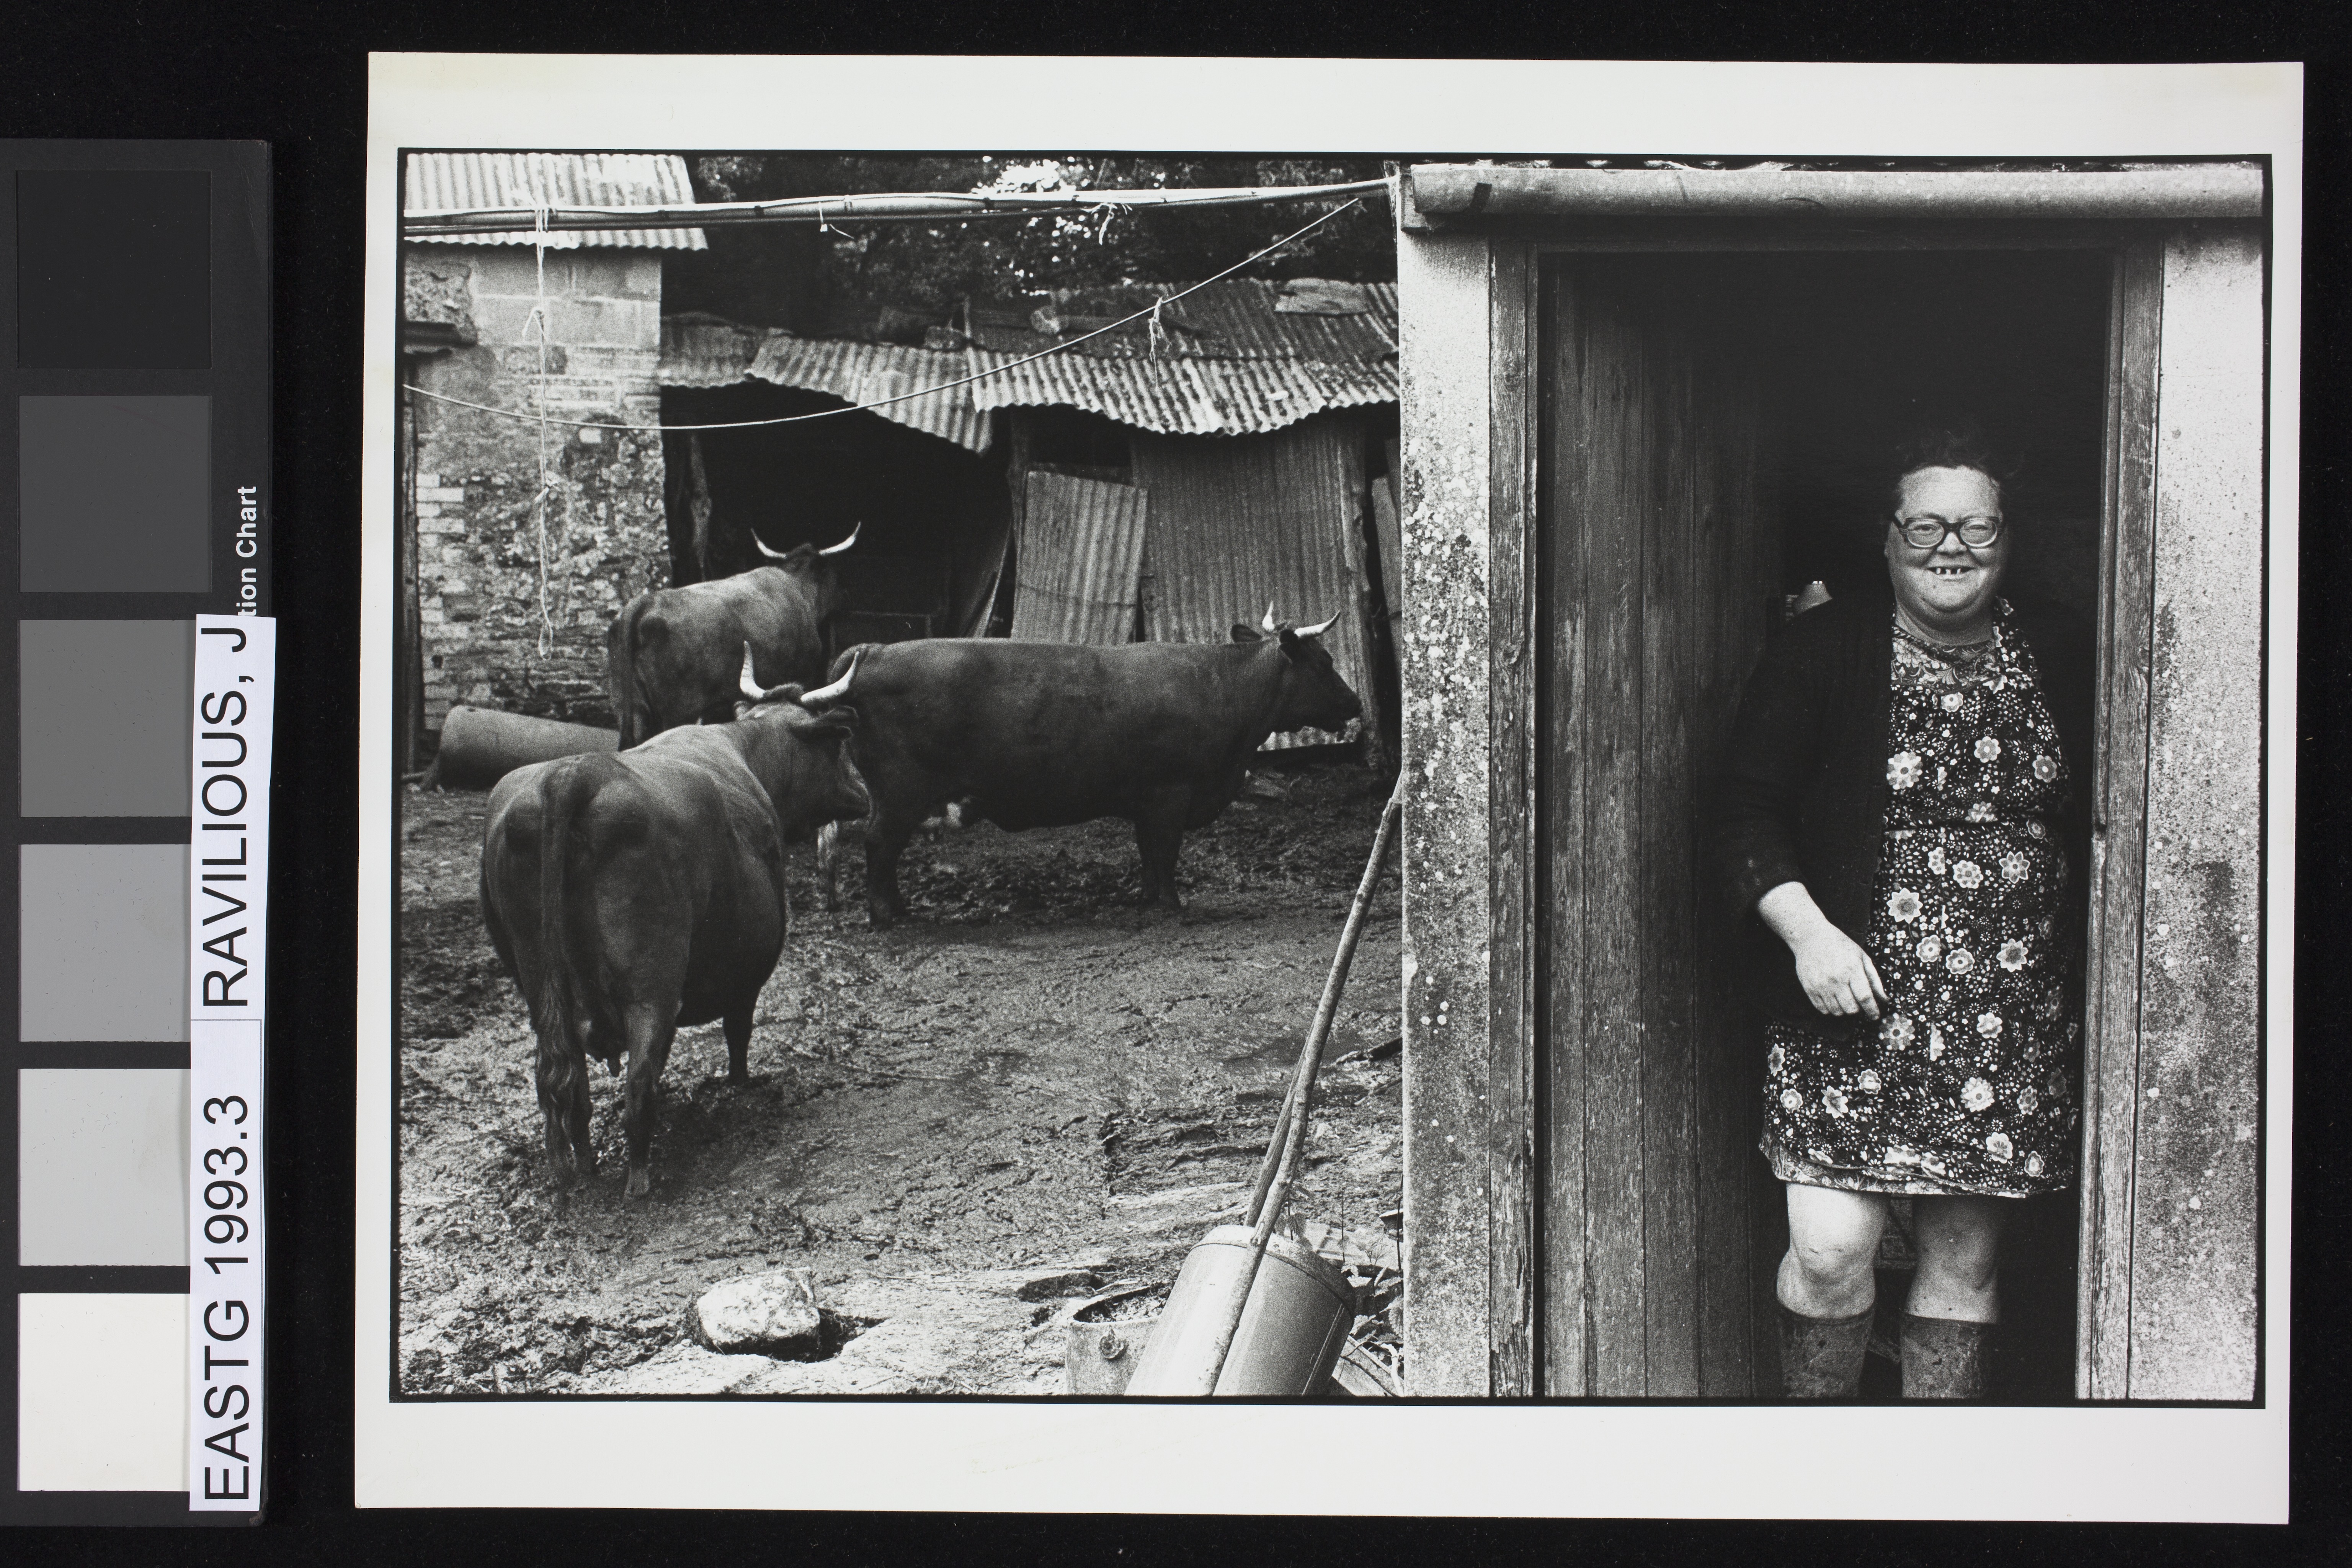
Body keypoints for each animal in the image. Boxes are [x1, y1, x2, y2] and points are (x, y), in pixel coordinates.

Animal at [482, 644, 870, 1194]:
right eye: (840, 747)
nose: (864, 791)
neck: (748, 752)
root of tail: (575, 774)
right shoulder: (748, 970)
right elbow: (738, 1032)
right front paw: (740, 1083)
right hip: (652, 984)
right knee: (639, 1083)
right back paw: (640, 1180)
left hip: (541, 988)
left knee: (565, 1084)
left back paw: (579, 1167)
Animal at [607, 524, 865, 752]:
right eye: (836, 574)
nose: (849, 597)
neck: (799, 587)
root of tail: (643, 604)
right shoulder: (805, 675)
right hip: (678, 711)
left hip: (628, 709)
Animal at [828, 606, 1364, 926]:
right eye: (1325, 662)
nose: (1356, 702)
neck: (1222, 686)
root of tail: (871, 649)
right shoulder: (1172, 794)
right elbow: (1165, 853)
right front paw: (1172, 904)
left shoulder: (1149, 801)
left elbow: (1148, 853)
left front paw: (1147, 898)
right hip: (900, 792)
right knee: (879, 845)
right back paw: (887, 914)